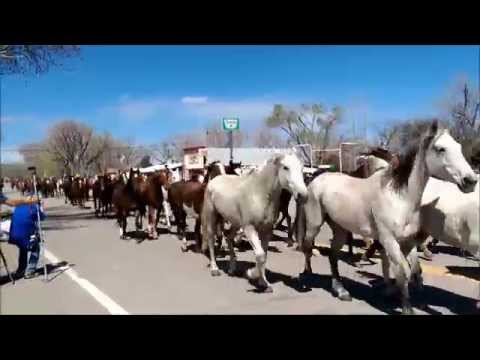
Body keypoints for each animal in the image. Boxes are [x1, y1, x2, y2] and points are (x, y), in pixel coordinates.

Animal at [202, 153, 308, 292]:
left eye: (302, 168)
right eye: (285, 167)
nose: (303, 195)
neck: (259, 194)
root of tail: (214, 180)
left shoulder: (266, 230)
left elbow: (264, 255)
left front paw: (263, 283)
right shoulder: (249, 228)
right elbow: (260, 255)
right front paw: (250, 274)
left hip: (236, 222)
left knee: (229, 236)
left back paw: (232, 268)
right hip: (212, 216)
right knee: (210, 239)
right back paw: (215, 269)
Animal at [296, 119, 476, 314]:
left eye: (458, 146)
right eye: (440, 148)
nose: (471, 181)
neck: (399, 197)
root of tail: (315, 179)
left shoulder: (407, 242)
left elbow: (410, 271)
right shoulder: (389, 240)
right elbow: (402, 272)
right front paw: (406, 308)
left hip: (340, 229)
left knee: (332, 255)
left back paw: (341, 291)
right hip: (314, 224)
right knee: (307, 247)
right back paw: (307, 277)